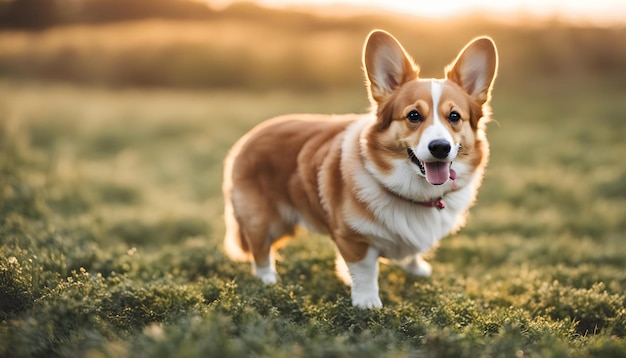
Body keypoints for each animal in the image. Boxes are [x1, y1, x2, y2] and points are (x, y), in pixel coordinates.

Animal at [222, 30, 494, 308]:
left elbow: (413, 252)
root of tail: (248, 138)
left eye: (454, 117)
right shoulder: (354, 240)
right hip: (264, 219)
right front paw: (367, 302)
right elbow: (365, 271)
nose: (440, 147)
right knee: (260, 249)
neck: (415, 193)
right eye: (414, 115)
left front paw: (416, 268)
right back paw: (267, 279)